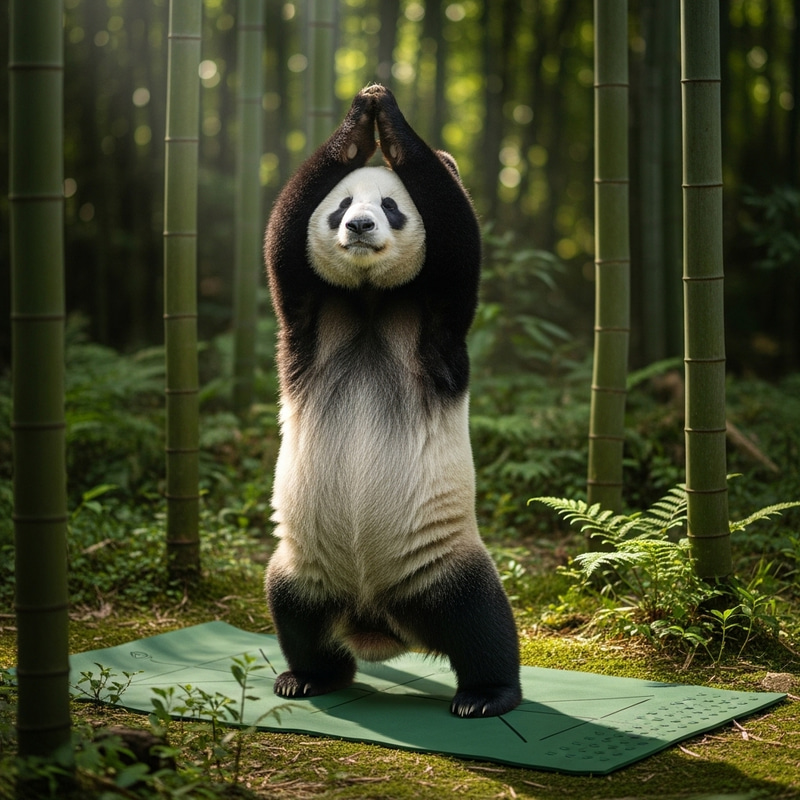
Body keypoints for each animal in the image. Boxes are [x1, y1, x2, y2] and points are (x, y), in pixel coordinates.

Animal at [263, 84, 522, 718]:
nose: (359, 226)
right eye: (341, 206)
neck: (369, 297)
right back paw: (308, 676)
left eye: (390, 205)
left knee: (480, 615)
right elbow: (284, 235)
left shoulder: (435, 323)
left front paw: (386, 112)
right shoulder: (308, 318)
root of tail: (377, 620)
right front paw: (361, 119)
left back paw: (487, 694)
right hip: (304, 561)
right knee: (292, 606)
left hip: (439, 555)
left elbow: (457, 235)